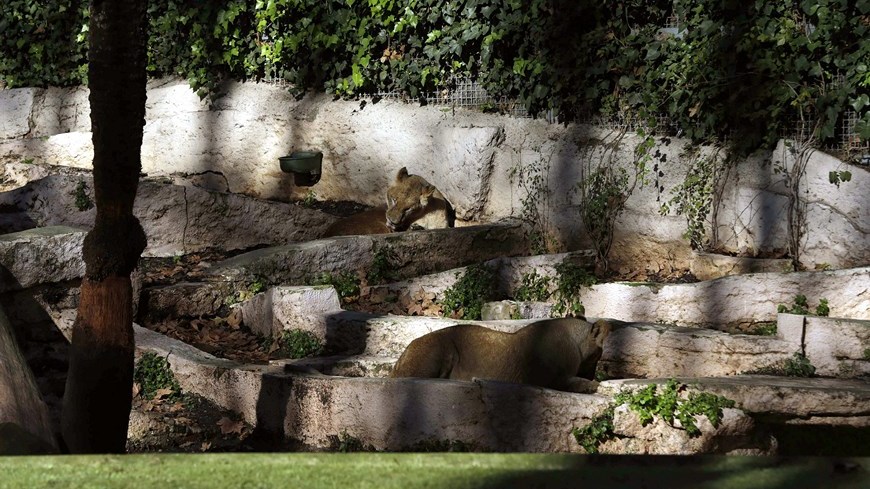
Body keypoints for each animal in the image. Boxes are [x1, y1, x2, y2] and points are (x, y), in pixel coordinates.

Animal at [389, 317, 612, 393]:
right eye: (597, 356)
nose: (594, 373)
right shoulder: (548, 378)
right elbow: (571, 382)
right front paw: (591, 385)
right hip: (442, 347)